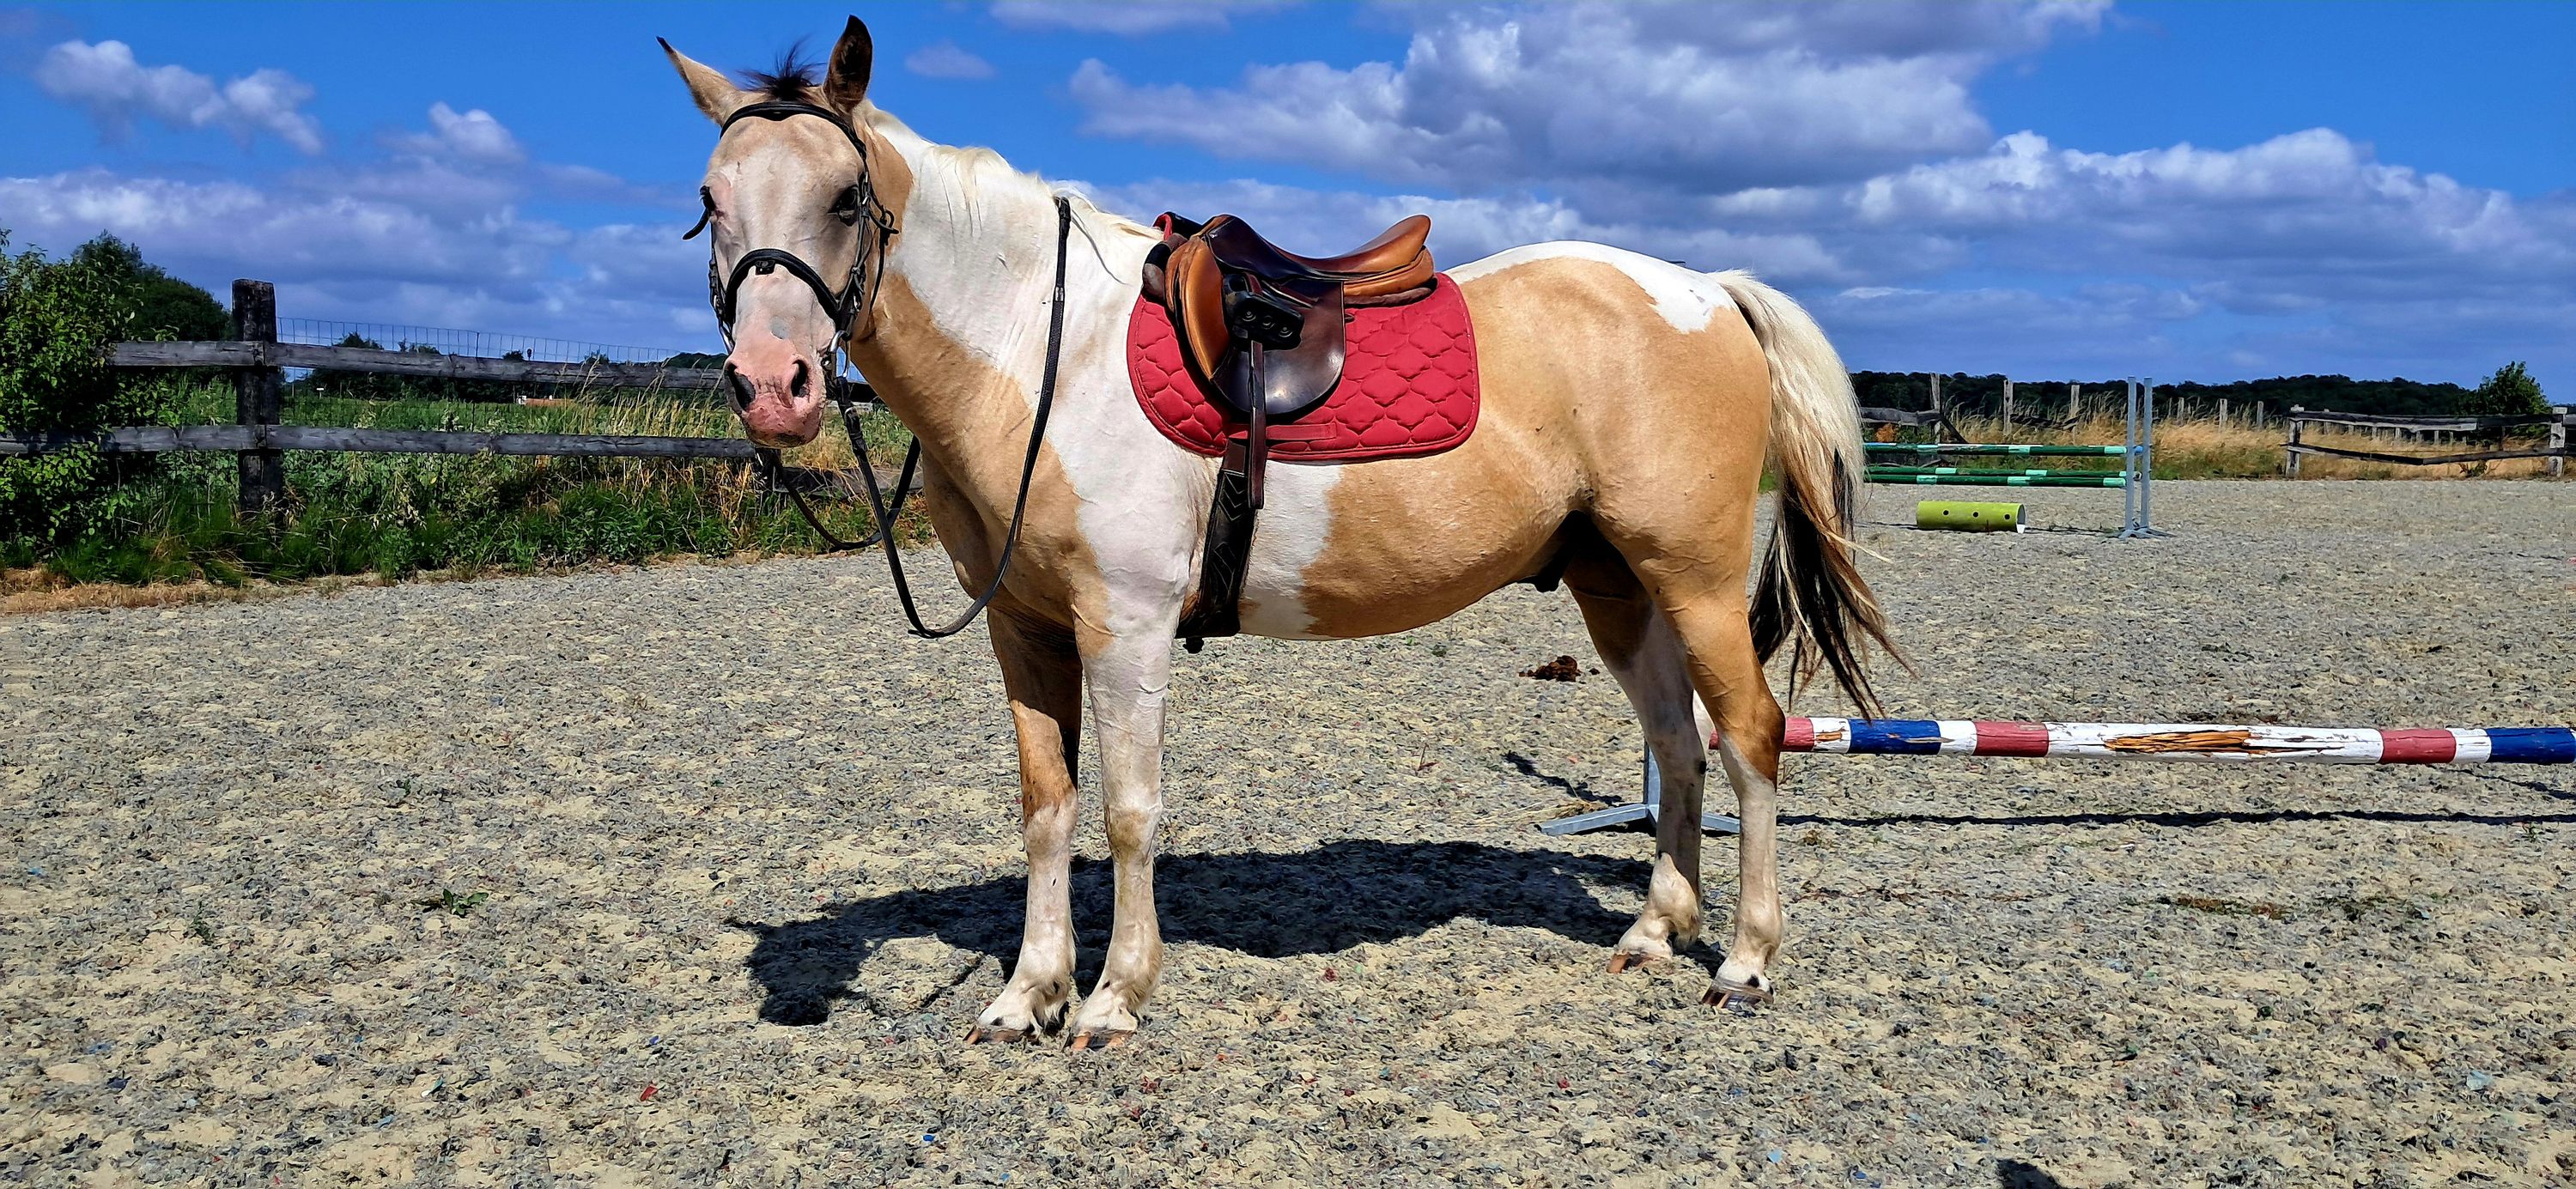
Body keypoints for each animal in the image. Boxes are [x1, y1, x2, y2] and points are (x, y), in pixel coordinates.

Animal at [664, 17, 1894, 1047]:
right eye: (712, 199)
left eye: (843, 198)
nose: (773, 387)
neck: (1039, 350)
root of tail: (1711, 292)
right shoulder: (1024, 630)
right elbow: (1048, 809)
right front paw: (1027, 994)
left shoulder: (1126, 625)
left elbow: (1129, 811)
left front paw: (1112, 997)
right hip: (1617, 586)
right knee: (1679, 742)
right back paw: (1652, 932)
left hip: (1693, 577)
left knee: (1750, 734)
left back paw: (1743, 961)